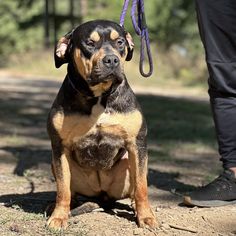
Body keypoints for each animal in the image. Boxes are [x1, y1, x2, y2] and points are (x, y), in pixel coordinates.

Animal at [46, 19, 157, 230]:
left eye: (120, 42)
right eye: (90, 43)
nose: (112, 60)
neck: (99, 96)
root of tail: (102, 195)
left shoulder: (137, 144)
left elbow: (141, 186)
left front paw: (146, 217)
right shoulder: (59, 148)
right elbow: (63, 189)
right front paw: (58, 217)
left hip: (129, 164)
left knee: (136, 186)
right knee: (70, 191)